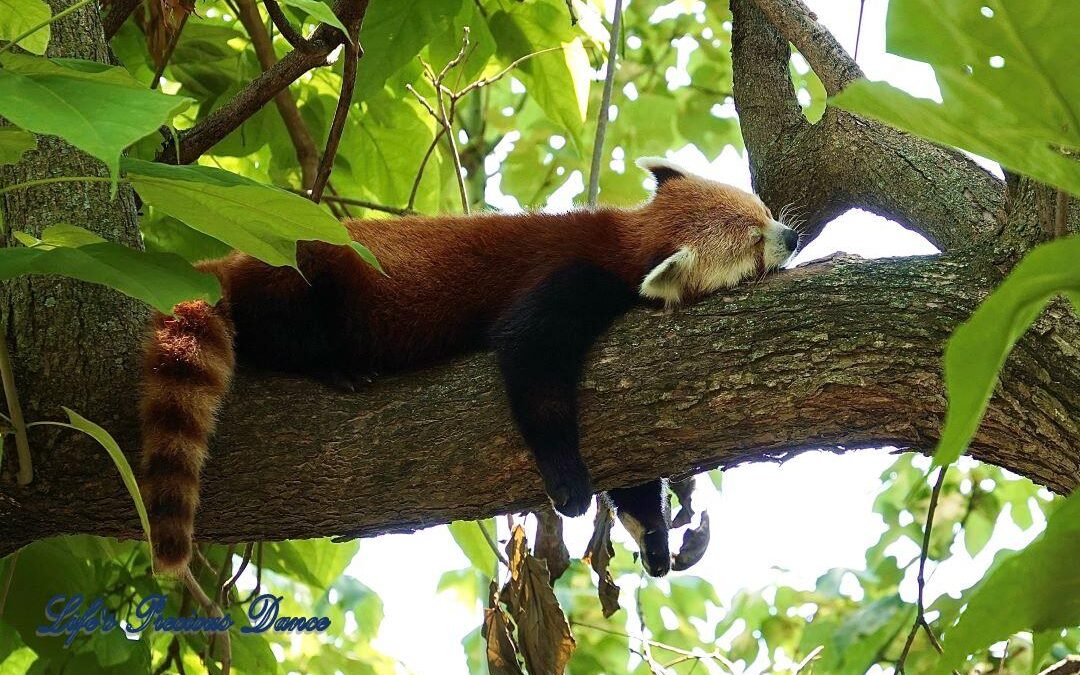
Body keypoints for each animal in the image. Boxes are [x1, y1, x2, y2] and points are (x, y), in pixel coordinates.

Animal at [139, 156, 799, 574]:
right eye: (751, 242)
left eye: (762, 211)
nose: (790, 237)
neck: (627, 239)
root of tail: (233, 261)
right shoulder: (567, 282)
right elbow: (529, 361)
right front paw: (568, 485)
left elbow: (634, 471)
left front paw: (654, 537)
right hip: (302, 278)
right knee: (284, 330)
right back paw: (333, 366)